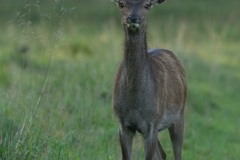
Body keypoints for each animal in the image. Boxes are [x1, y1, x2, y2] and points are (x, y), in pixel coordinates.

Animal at [111, 0, 187, 160]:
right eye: (121, 4)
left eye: (147, 5)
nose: (133, 18)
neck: (135, 104)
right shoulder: (123, 124)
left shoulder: (152, 123)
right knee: (162, 153)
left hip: (179, 114)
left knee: (177, 152)